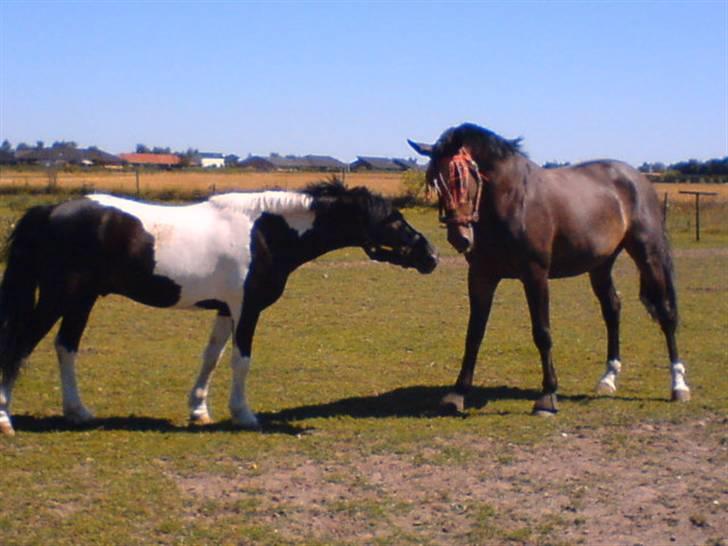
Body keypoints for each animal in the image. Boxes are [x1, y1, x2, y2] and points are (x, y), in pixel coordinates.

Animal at [0, 182, 438, 434]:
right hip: (59, 297)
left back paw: (78, 412)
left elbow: (211, 357)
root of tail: (49, 212)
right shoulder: (247, 310)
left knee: (65, 347)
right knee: (20, 346)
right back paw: (6, 419)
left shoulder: (226, 310)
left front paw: (199, 410)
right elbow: (241, 361)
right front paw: (244, 415)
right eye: (393, 220)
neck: (265, 232)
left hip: (82, 299)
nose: (431, 255)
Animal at [412, 122, 692, 412]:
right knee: (612, 310)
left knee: (666, 314)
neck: (513, 201)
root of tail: (637, 178)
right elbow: (474, 334)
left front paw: (547, 396)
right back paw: (608, 379)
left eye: (460, 178)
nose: (460, 238)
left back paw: (679, 385)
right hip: (601, 265)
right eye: (435, 182)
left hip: (648, 255)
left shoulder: (535, 275)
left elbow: (542, 333)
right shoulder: (481, 276)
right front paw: (458, 393)